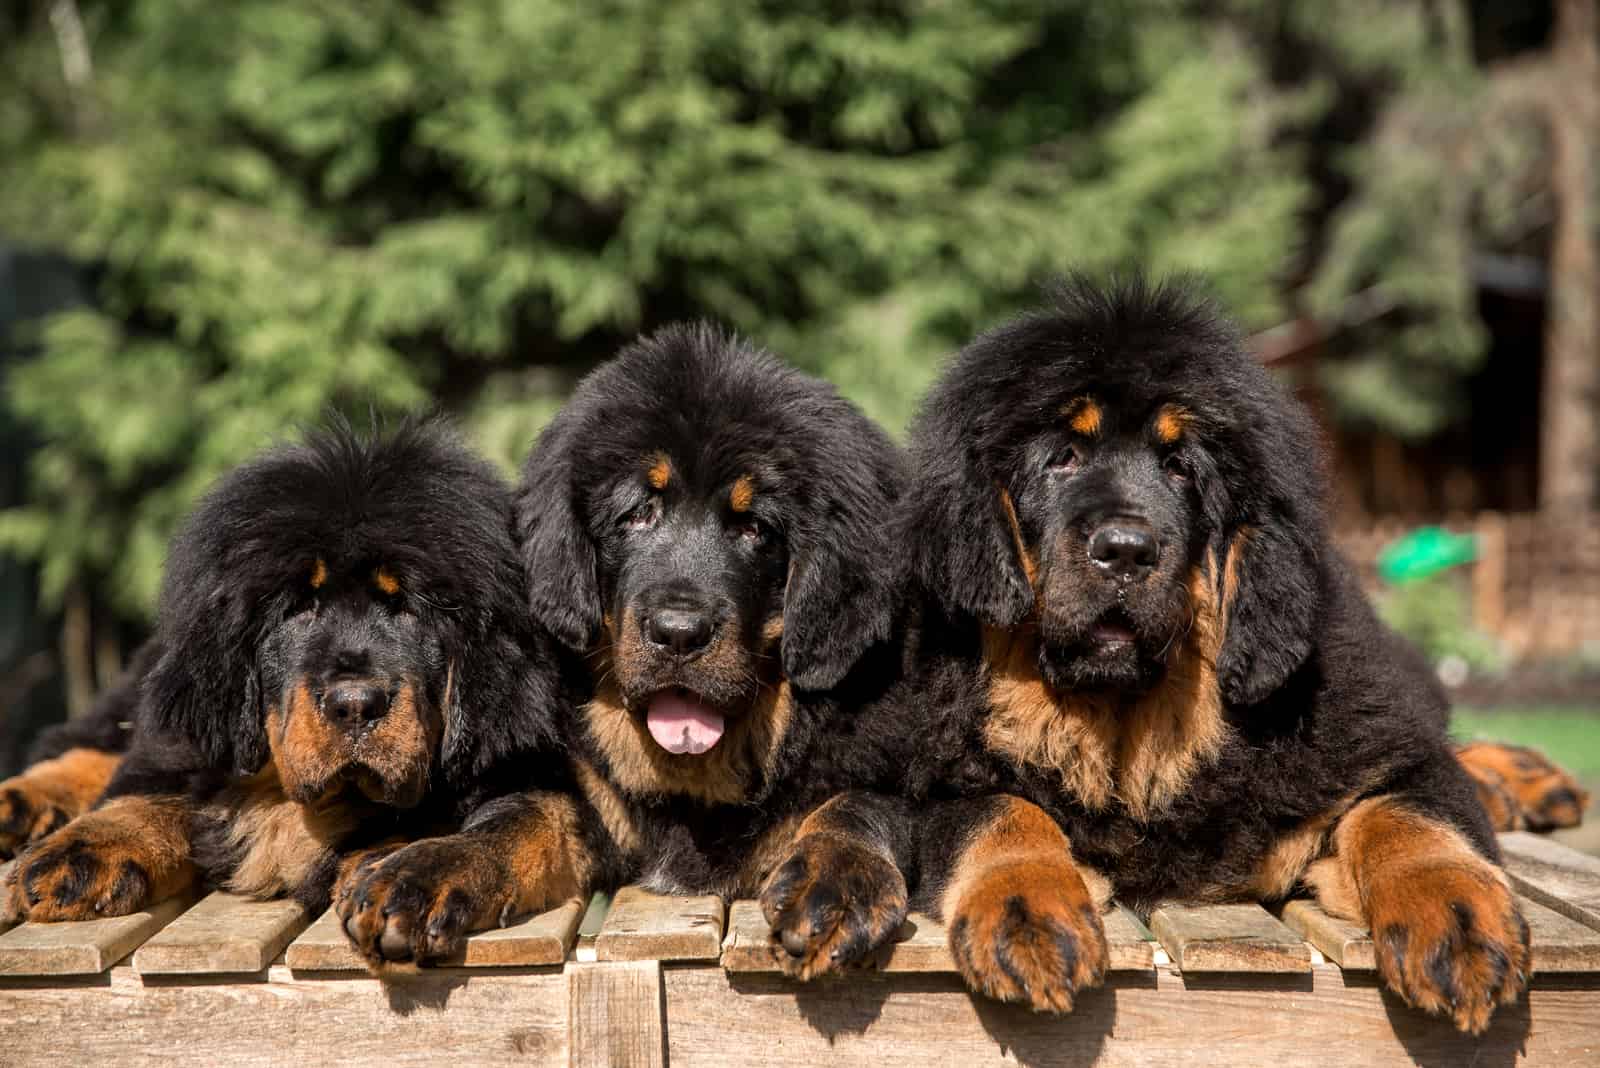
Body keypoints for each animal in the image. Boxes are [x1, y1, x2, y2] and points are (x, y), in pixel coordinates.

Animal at [3, 418, 560, 927]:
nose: (355, 705)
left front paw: (390, 858)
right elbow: (152, 785)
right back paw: (19, 801)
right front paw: (87, 849)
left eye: (407, 608)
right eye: (297, 609)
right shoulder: (190, 743)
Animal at [334, 321, 928, 972]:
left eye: (754, 529)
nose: (678, 633)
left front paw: (833, 880)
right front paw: (425, 871)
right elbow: (516, 819)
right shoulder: (585, 801)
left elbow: (854, 807)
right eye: (638, 515)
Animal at [902, 274, 1536, 1036]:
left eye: (1181, 470)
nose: (1125, 550)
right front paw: (1027, 912)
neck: (1132, 740)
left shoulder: (1386, 746)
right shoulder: (936, 784)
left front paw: (1458, 921)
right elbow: (999, 812)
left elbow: (1412, 819)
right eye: (1063, 457)